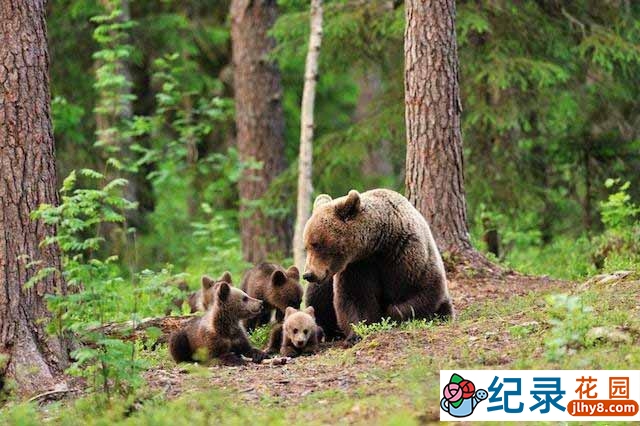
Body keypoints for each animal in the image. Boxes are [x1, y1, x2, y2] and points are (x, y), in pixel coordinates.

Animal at [302, 189, 453, 344]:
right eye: (306, 246)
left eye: (316, 244)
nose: (308, 274)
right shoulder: (358, 267)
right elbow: (355, 299)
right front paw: (356, 334)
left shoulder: (407, 256)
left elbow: (422, 292)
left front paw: (390, 315)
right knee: (316, 297)